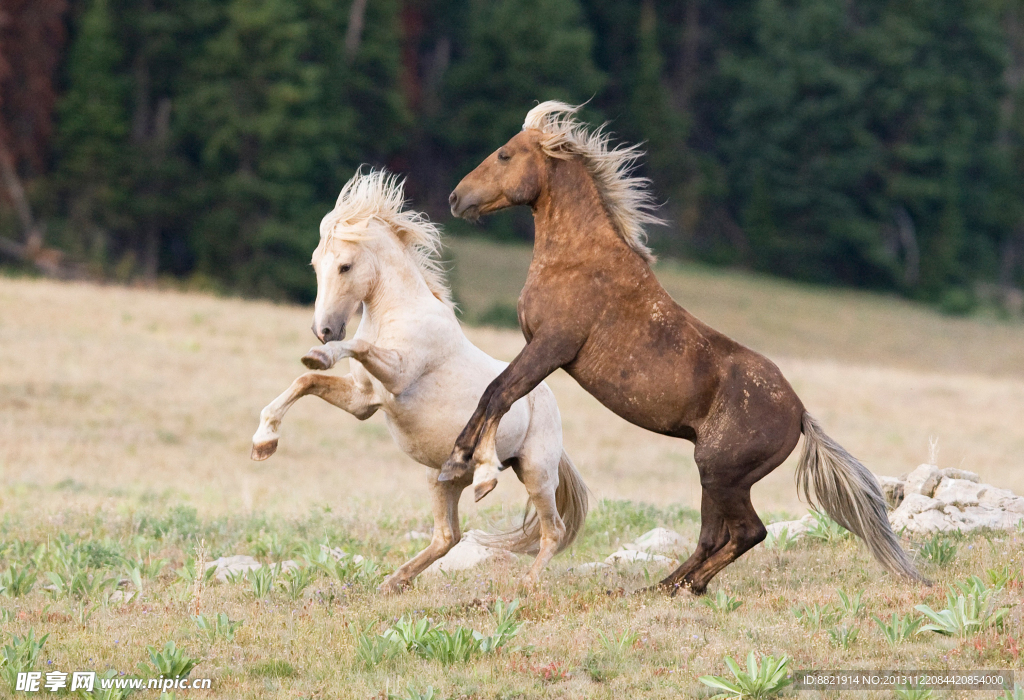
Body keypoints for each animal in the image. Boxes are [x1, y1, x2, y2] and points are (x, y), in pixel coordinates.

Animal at [250, 168, 588, 593]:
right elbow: (305, 381)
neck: (396, 312)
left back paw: (524, 581)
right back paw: (393, 581)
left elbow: (355, 346)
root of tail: (548, 402)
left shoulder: (396, 376)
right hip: (441, 477)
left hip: (536, 472)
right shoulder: (364, 400)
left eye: (345, 266)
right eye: (314, 265)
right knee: (448, 536)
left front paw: (322, 356)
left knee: (552, 530)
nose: (323, 330)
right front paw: (264, 441)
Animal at [439, 101, 925, 595]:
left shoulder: (551, 347)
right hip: (718, 478)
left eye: (504, 154)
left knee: (745, 532)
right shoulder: (542, 349)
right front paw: (462, 463)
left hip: (719, 473)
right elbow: (497, 392)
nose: (456, 198)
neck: (579, 259)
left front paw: (469, 469)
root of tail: (801, 415)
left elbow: (498, 392)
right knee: (716, 536)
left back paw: (678, 587)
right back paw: (666, 587)